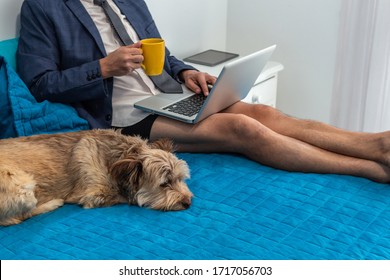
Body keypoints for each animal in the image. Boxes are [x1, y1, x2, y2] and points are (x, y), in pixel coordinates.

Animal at [0, 129, 192, 225]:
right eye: (164, 184)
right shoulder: (95, 195)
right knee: (19, 217)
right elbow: (125, 197)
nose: (188, 203)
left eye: (181, 179)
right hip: (23, 186)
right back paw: (54, 203)